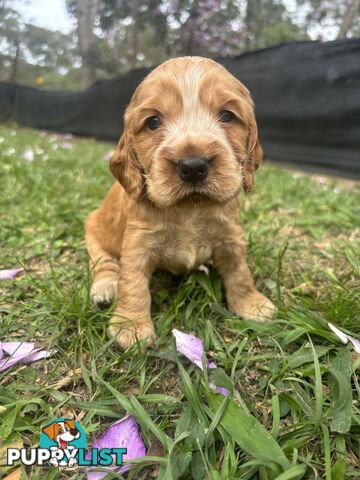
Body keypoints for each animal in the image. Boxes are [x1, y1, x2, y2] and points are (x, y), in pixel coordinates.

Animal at [85, 56, 276, 348]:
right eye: (153, 122)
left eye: (227, 115)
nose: (193, 166)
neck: (190, 209)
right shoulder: (138, 242)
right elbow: (133, 281)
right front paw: (131, 327)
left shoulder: (230, 235)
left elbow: (239, 269)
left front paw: (251, 303)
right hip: (93, 231)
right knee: (104, 263)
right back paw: (106, 286)